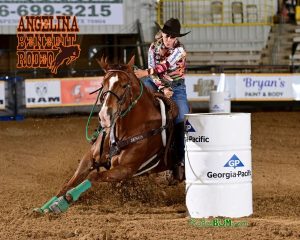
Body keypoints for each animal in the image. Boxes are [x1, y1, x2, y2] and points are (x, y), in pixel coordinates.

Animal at [35, 55, 180, 214]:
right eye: (102, 83)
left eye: (124, 85)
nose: (105, 116)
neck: (126, 130)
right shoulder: (90, 157)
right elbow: (69, 183)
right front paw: (45, 207)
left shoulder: (126, 169)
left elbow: (94, 175)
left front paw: (64, 201)